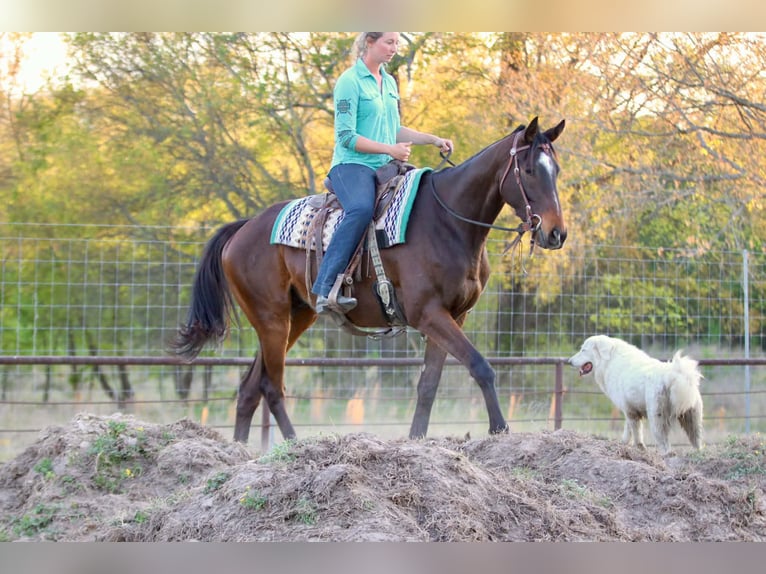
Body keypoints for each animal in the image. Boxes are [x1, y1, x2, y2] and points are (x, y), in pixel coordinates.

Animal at [171, 117, 567, 444]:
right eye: (529, 169)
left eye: (557, 170)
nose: (556, 233)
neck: (449, 222)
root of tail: (243, 229)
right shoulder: (429, 314)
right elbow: (481, 366)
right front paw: (500, 429)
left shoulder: (454, 315)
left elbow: (428, 384)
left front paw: (416, 439)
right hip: (272, 319)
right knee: (271, 386)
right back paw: (294, 445)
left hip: (297, 316)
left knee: (250, 388)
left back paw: (240, 452)